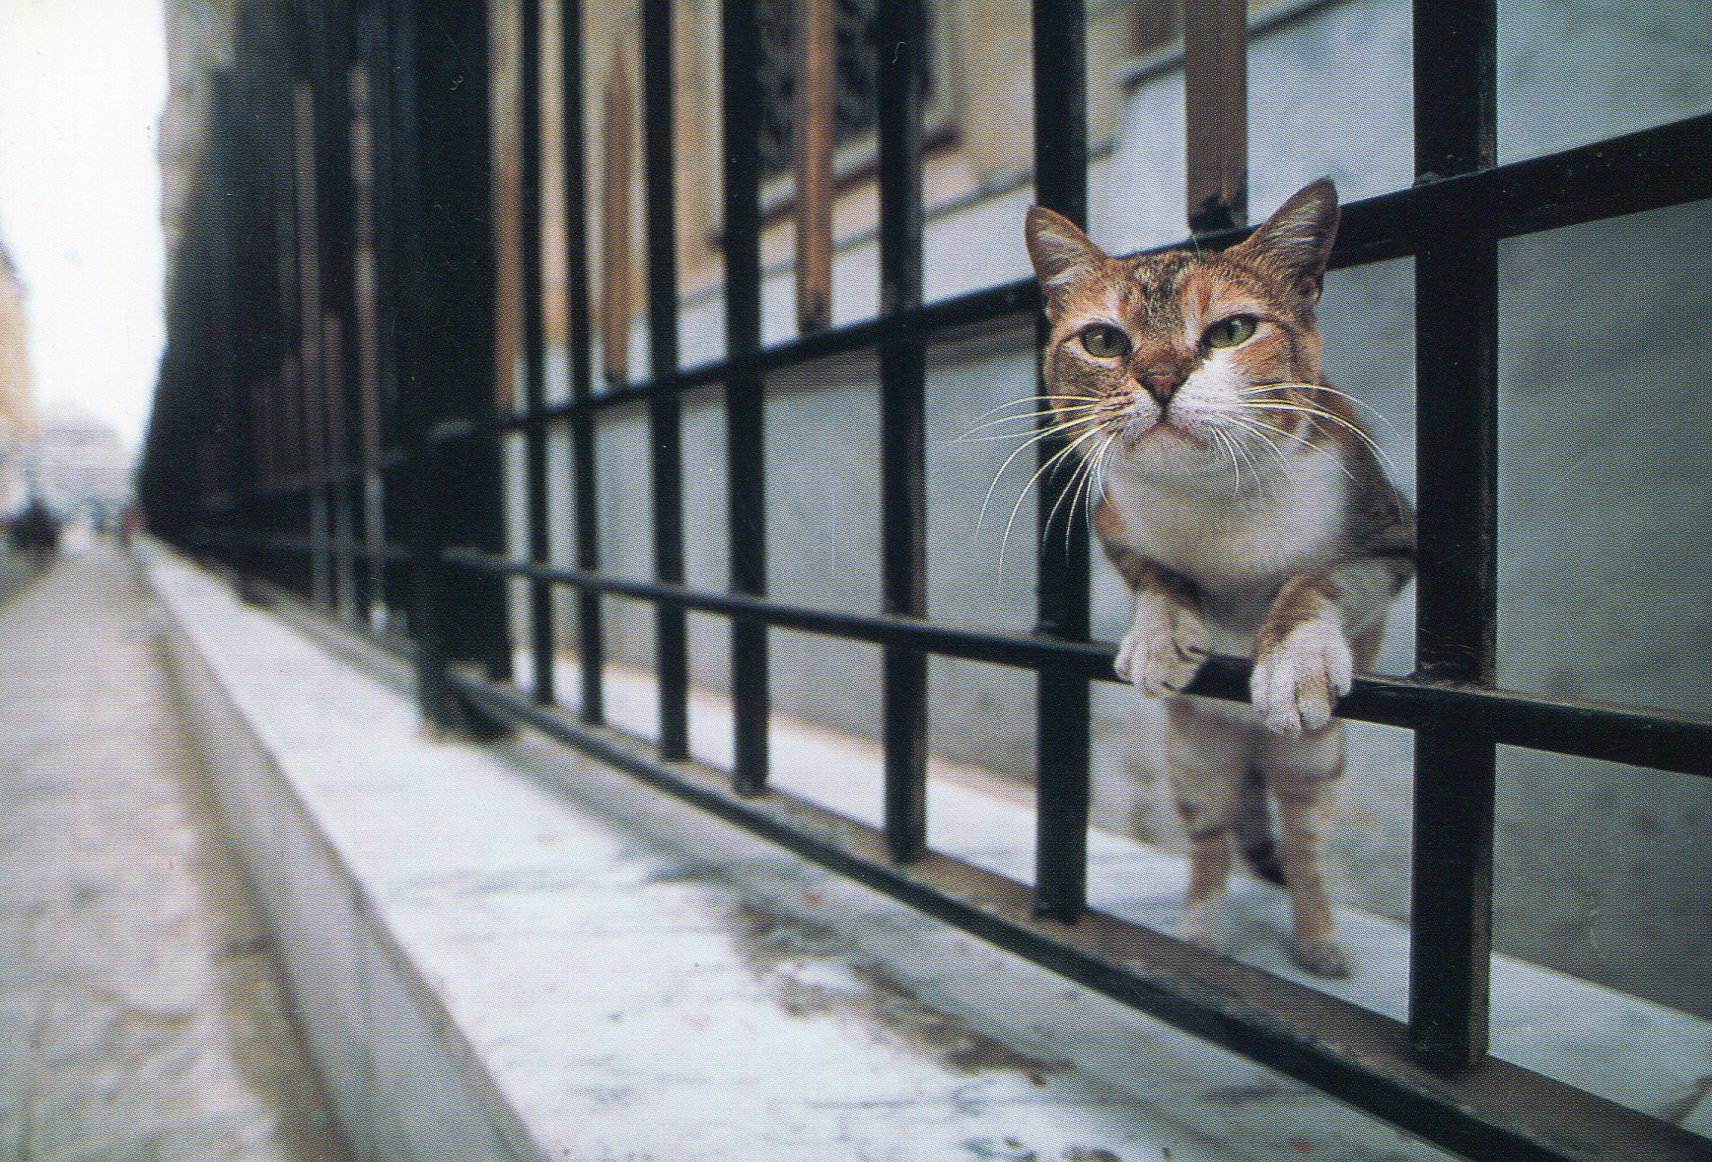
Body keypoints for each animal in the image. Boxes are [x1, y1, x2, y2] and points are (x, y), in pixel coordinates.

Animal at [1023, 179, 1414, 977]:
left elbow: (1319, 579)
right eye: (1103, 340)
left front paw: (1294, 657)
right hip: (1194, 754)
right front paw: (1163, 633)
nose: (1161, 378)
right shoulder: (1115, 523)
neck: (1219, 505)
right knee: (1210, 841)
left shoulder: (1395, 535)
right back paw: (1202, 929)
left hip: (1313, 761)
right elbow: (1157, 572)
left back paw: (1318, 940)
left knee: (1303, 845)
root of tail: (1250, 750)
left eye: (1232, 330)